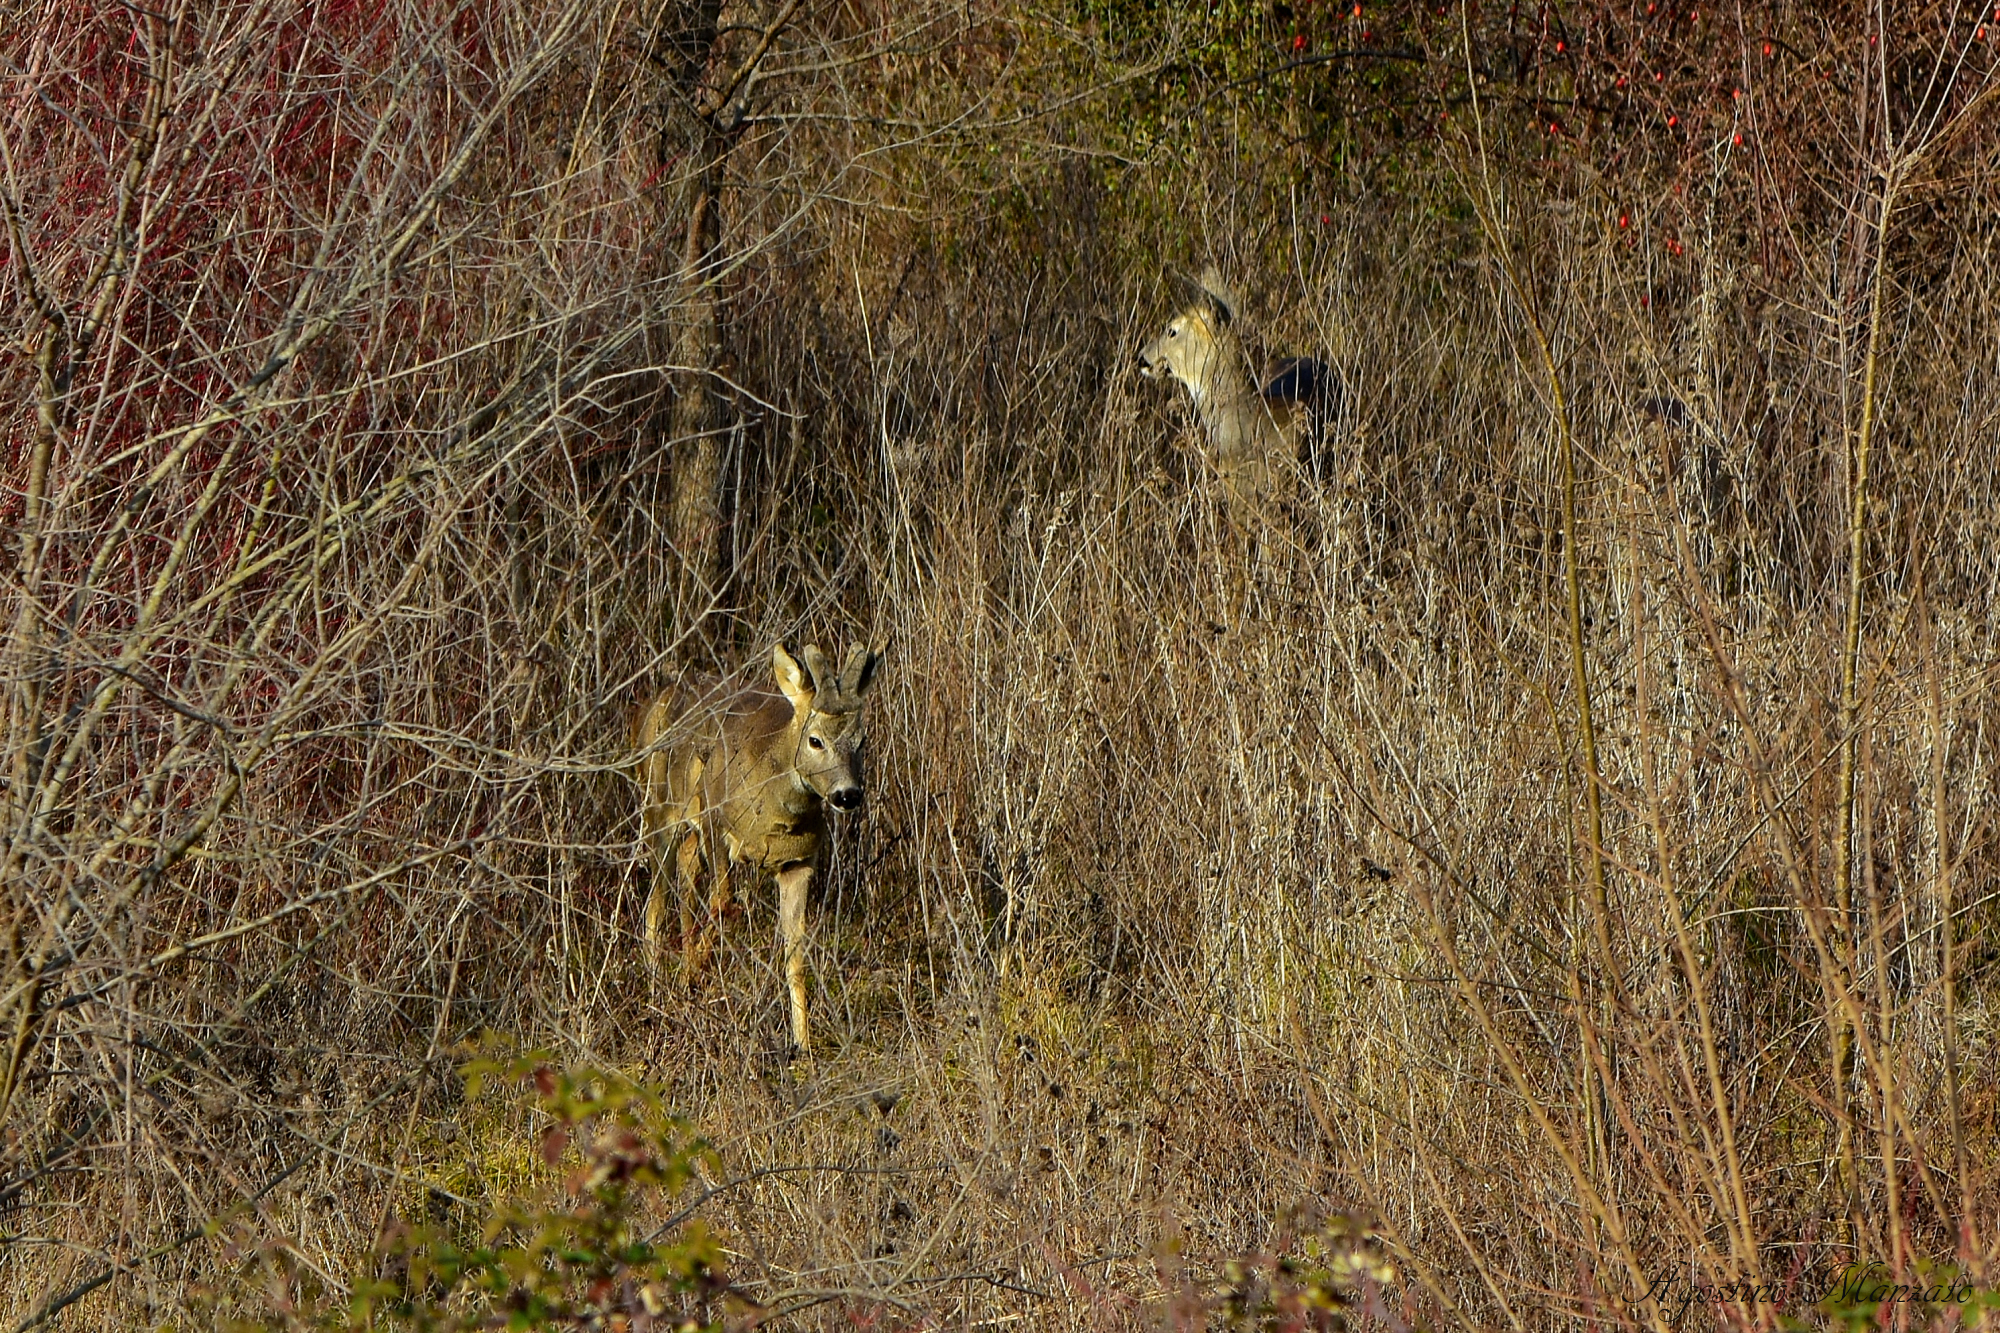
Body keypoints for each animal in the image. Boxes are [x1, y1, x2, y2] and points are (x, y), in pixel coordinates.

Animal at [632, 640, 886, 1052]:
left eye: (861, 741)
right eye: (815, 740)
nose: (847, 794)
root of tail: (649, 706)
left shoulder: (799, 862)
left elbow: (796, 954)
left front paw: (803, 1043)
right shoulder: (716, 822)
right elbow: (723, 901)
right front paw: (696, 974)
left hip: (685, 828)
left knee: (685, 876)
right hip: (658, 805)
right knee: (656, 900)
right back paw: (658, 990)